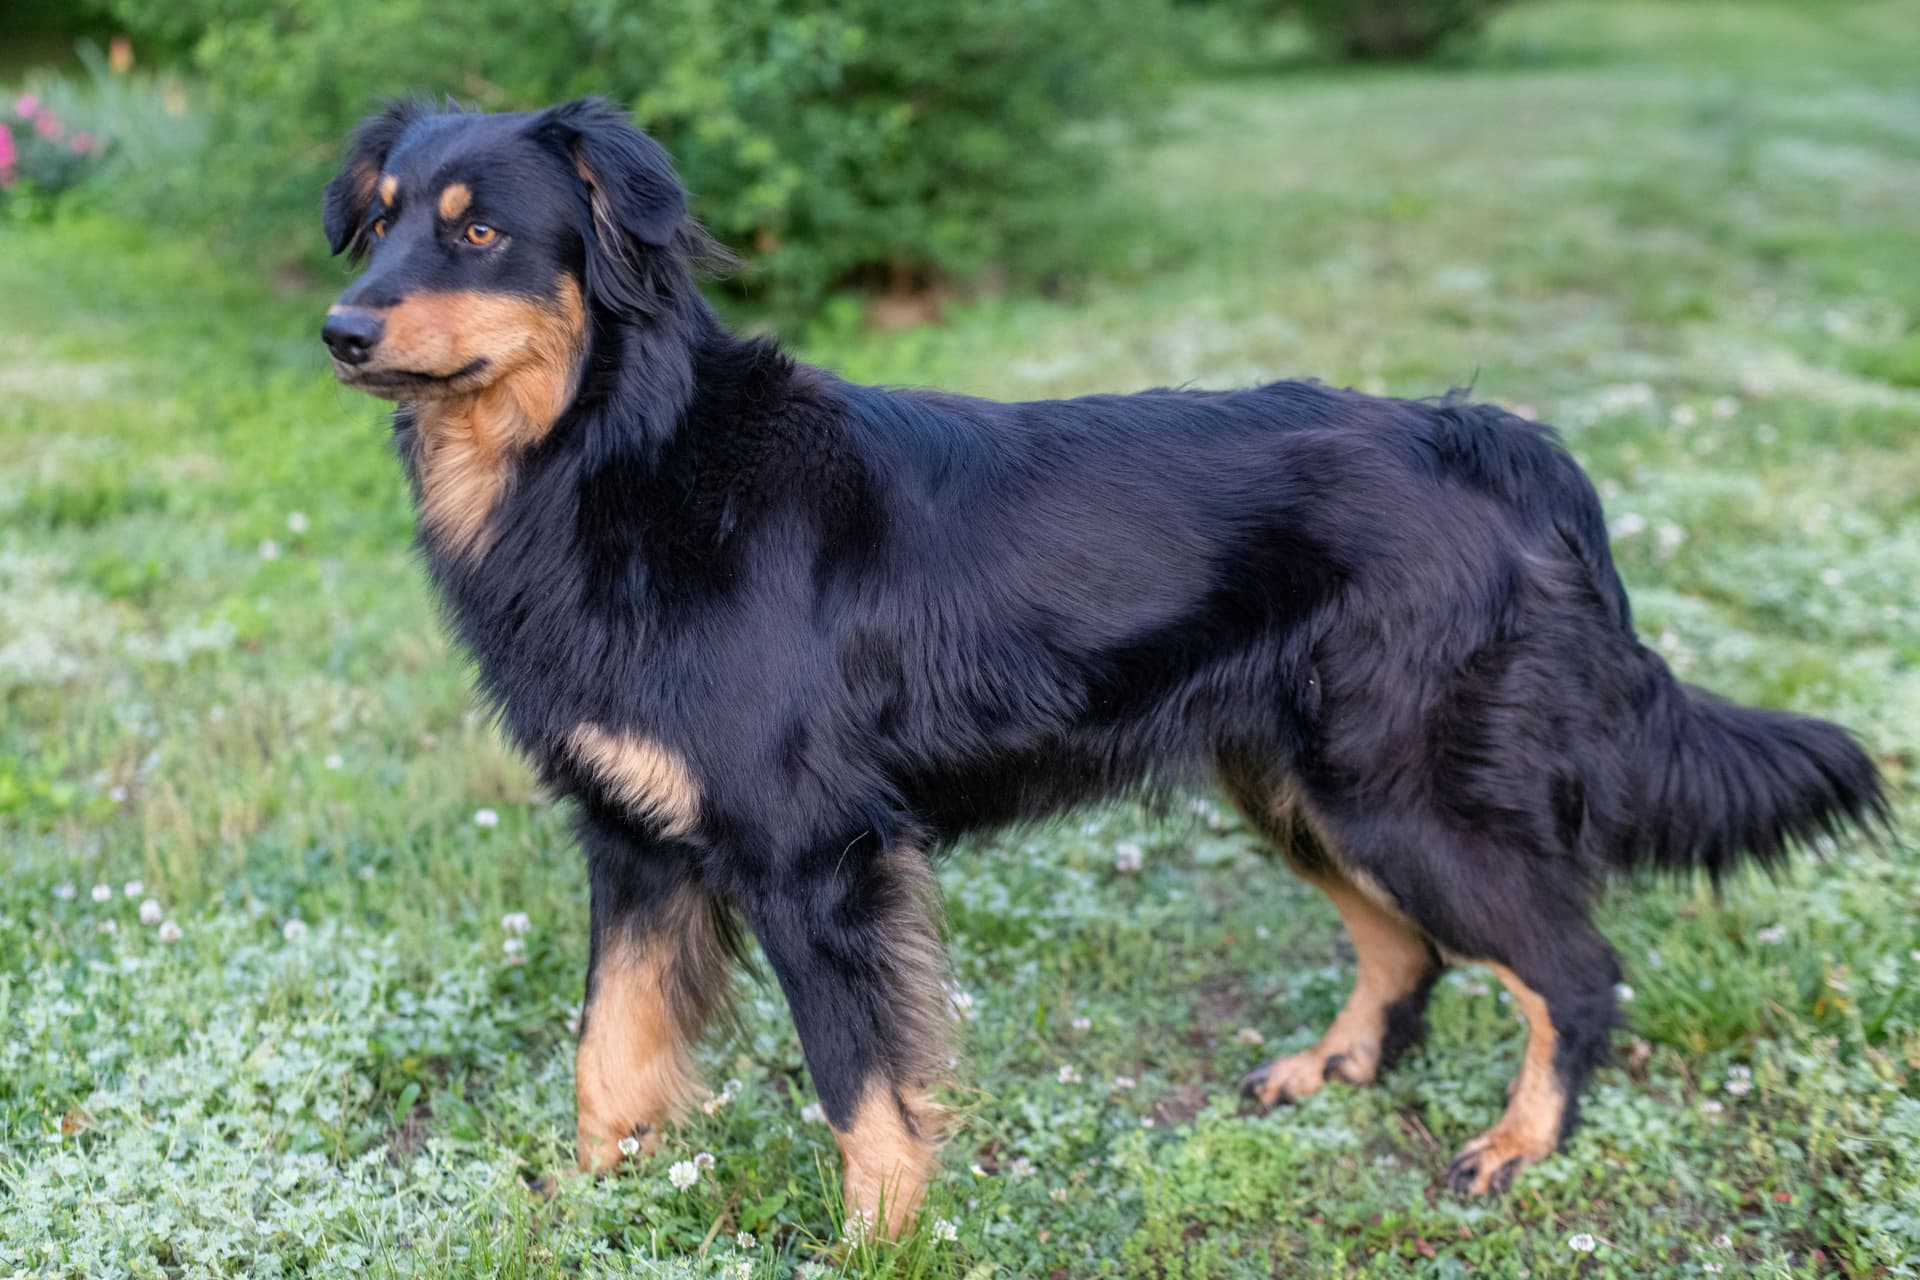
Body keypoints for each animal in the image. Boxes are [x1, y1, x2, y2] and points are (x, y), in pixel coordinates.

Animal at [322, 100, 1881, 1243]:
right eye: (380, 224)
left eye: (480, 234)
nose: (339, 329)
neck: (620, 459)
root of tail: (1494, 439)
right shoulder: (636, 842)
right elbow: (611, 1053)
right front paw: (583, 1212)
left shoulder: (814, 857)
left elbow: (861, 1090)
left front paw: (879, 1242)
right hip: (1297, 785)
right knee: (1413, 947)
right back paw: (1334, 1069)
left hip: (1405, 791)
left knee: (1574, 966)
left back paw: (1517, 1145)